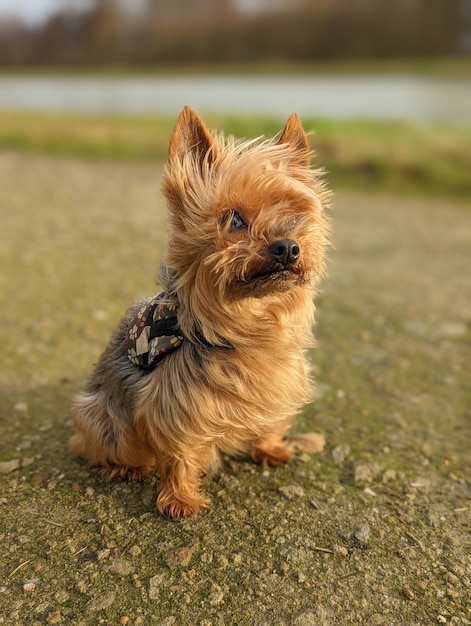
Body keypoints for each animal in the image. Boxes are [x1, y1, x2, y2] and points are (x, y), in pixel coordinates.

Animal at [69, 107, 332, 516]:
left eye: (294, 214)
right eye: (235, 219)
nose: (288, 247)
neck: (249, 323)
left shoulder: (280, 384)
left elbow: (269, 423)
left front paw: (270, 448)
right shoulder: (174, 405)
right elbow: (179, 453)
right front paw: (179, 498)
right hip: (102, 418)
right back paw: (128, 466)